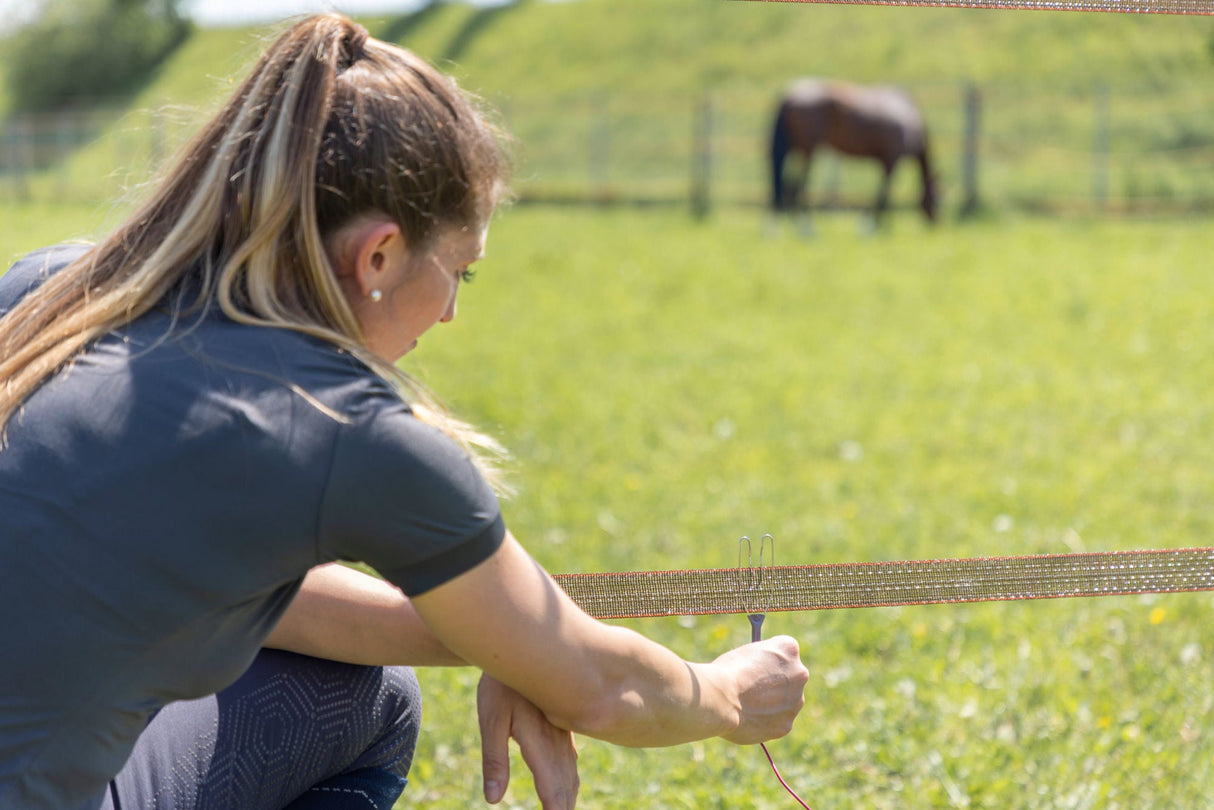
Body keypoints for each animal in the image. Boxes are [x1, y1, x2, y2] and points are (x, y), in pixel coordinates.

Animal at [767, 80, 937, 224]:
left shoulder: (886, 160)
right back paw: (804, 223)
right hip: (808, 150)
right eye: (938, 196)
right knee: (796, 186)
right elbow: (884, 191)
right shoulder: (893, 157)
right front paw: (881, 222)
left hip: (795, 148)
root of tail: (789, 97)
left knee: (787, 186)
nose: (936, 222)